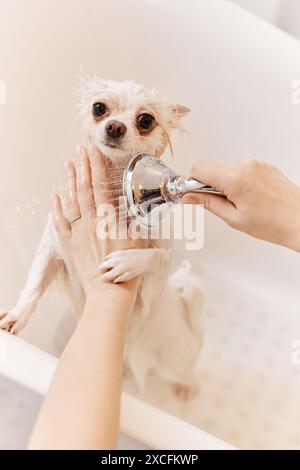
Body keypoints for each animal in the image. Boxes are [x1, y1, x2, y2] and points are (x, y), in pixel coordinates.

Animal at [0, 79, 204, 398]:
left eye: (146, 120)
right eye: (99, 108)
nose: (115, 126)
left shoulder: (162, 262)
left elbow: (155, 256)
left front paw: (127, 262)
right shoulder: (54, 246)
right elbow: (34, 285)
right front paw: (17, 316)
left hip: (175, 359)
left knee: (189, 374)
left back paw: (187, 390)